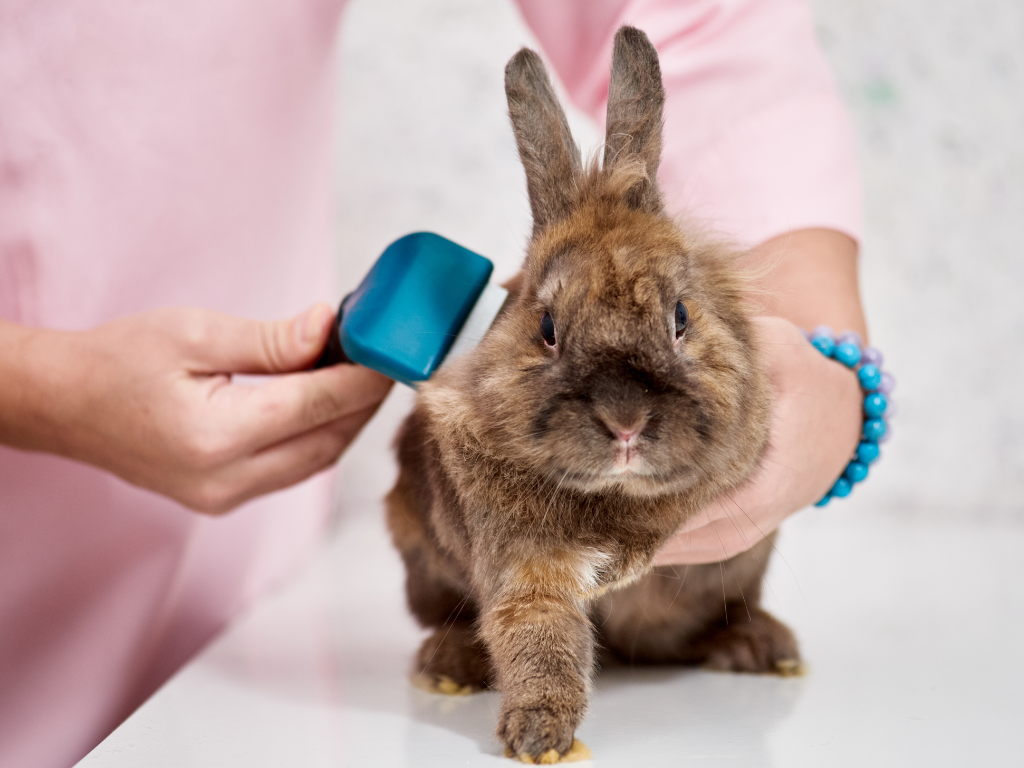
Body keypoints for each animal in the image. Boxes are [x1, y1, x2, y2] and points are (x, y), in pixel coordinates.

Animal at [385, 26, 800, 764]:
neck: (615, 495)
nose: (625, 420)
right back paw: (447, 666)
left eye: (680, 316)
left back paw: (763, 647)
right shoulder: (524, 565)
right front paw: (540, 735)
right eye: (547, 328)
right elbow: (537, 632)